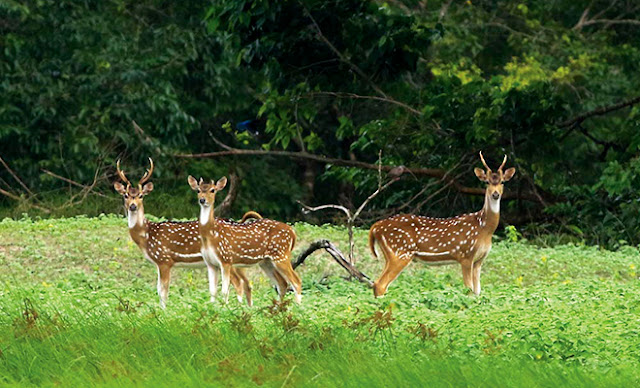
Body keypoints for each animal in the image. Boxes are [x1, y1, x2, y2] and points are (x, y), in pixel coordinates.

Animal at [114, 159, 256, 308]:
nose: (132, 206)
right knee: (246, 283)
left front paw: (163, 310)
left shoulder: (164, 259)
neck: (147, 235)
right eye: (125, 195)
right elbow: (159, 290)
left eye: (141, 195)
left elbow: (163, 291)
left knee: (238, 283)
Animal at [188, 176, 302, 306]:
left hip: (281, 254)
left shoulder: (226, 259)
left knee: (296, 281)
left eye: (212, 190)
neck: (211, 235)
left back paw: (298, 307)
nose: (202, 200)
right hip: (266, 261)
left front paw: (226, 307)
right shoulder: (210, 263)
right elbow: (212, 291)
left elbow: (225, 290)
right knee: (282, 283)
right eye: (198, 190)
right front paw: (213, 308)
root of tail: (292, 233)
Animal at [370, 152, 516, 298]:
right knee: (380, 284)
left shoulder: (479, 260)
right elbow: (469, 290)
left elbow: (477, 292)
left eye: (502, 181)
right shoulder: (465, 255)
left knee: (377, 283)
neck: (484, 228)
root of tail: (376, 227)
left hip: (392, 254)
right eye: (487, 182)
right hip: (400, 252)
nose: (495, 194)